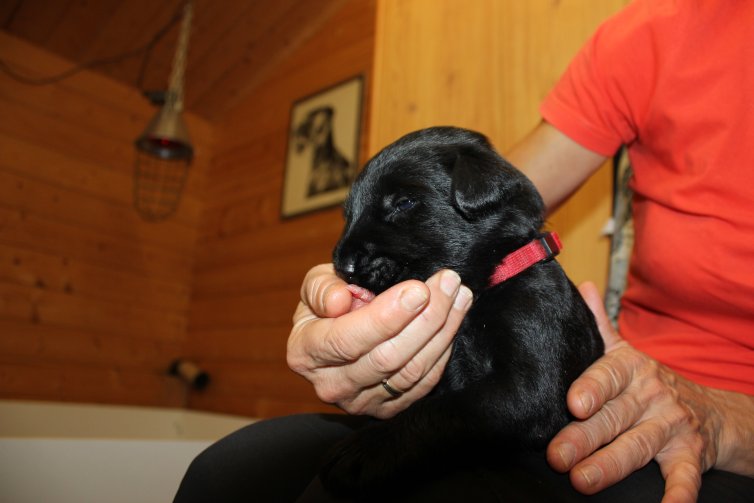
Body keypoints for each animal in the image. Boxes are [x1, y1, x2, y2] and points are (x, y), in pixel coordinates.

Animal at [320, 128, 604, 498]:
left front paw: (365, 450)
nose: (344, 266)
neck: (482, 289)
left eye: (404, 203)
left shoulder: (528, 384)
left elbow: (441, 410)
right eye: (348, 213)